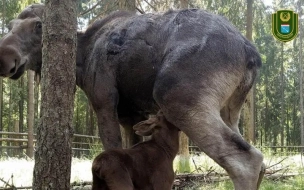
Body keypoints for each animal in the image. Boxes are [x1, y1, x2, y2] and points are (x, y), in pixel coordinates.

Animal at [0, 3, 264, 189]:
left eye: (39, 25)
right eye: (10, 24)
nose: (5, 57)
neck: (81, 59)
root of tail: (250, 52)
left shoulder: (104, 101)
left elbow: (111, 148)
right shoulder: (131, 115)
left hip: (176, 97)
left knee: (246, 160)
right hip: (229, 110)